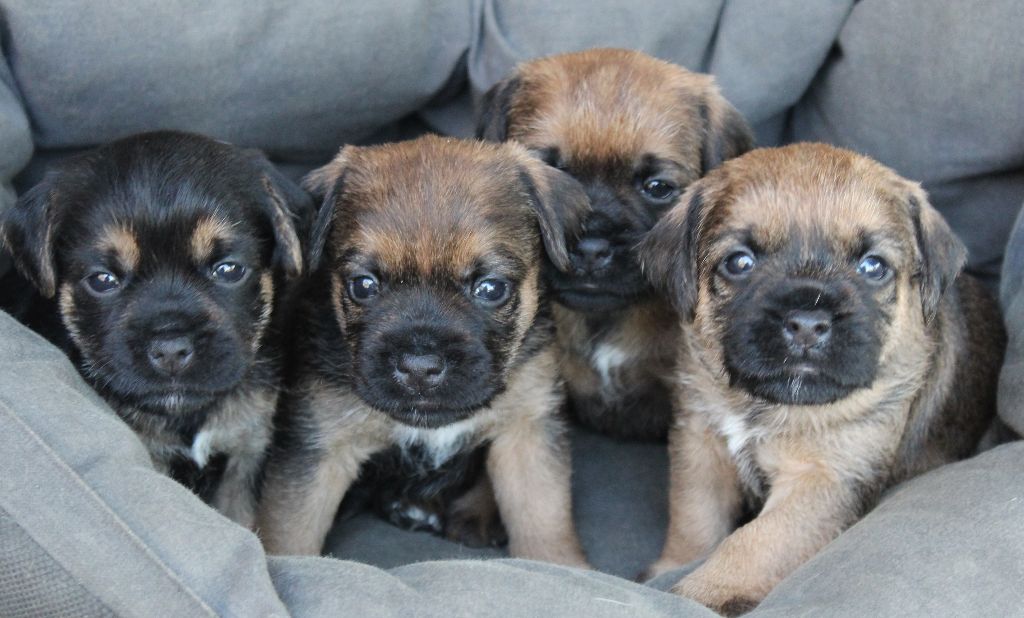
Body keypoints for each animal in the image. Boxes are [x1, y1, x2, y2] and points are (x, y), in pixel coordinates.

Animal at [254, 135, 589, 564]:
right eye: (363, 285)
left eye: (491, 288)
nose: (419, 367)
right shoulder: (317, 448)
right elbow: (290, 535)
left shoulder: (528, 428)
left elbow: (544, 519)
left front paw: (563, 567)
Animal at [634, 143, 1003, 613]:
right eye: (740, 263)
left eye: (873, 267)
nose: (807, 323)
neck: (763, 405)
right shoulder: (700, 442)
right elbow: (695, 515)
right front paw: (673, 566)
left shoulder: (823, 478)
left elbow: (754, 542)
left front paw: (702, 592)